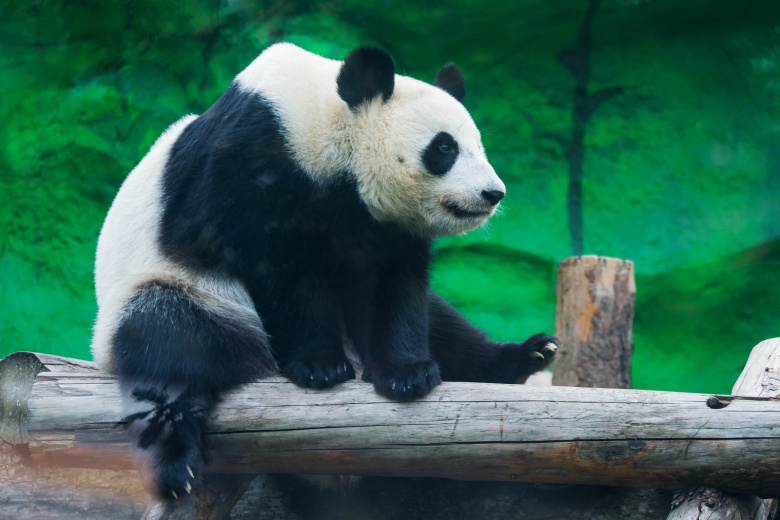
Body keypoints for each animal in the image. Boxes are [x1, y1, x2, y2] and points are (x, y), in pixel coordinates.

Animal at [91, 43, 558, 500]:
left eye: (478, 145)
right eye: (444, 148)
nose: (493, 193)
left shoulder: (382, 226)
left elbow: (395, 290)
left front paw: (406, 374)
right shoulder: (251, 166)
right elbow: (283, 274)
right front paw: (321, 367)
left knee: (446, 325)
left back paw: (528, 355)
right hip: (180, 289)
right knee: (168, 345)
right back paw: (176, 466)